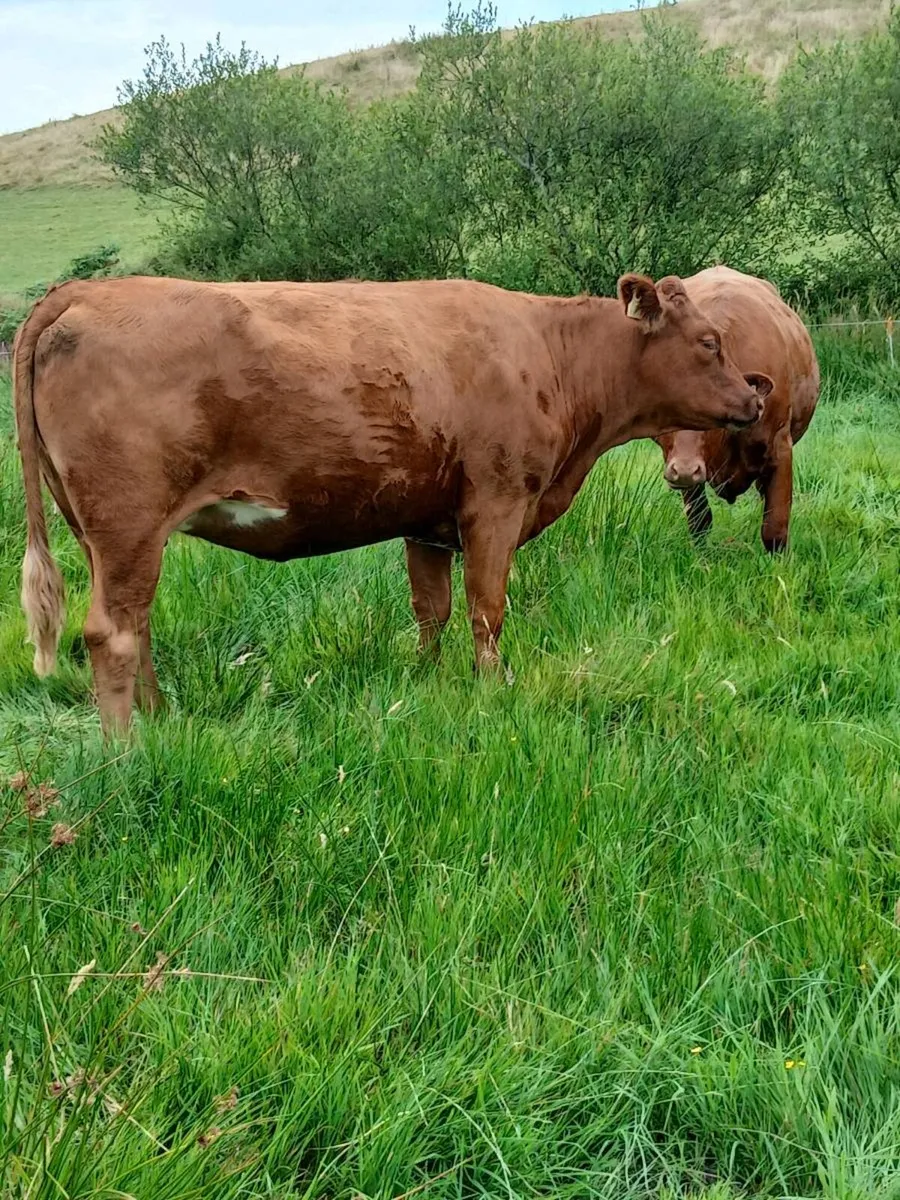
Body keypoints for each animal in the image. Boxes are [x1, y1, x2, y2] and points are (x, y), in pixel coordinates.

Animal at [14, 273, 770, 733]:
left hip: (103, 536)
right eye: (709, 342)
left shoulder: (427, 520)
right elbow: (487, 608)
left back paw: (163, 717)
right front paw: (493, 690)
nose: (754, 397)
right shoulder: (496, 503)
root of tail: (84, 291)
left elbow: (431, 610)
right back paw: (127, 747)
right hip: (128, 523)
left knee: (134, 623)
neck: (551, 353)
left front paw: (428, 681)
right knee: (111, 633)